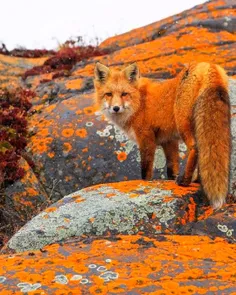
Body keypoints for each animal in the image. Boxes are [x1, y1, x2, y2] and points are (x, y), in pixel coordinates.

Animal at [93, 61, 230, 210]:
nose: (116, 108)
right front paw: (171, 180)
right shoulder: (169, 141)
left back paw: (185, 180)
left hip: (183, 123)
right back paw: (198, 180)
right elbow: (171, 168)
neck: (139, 102)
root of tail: (206, 64)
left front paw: (145, 183)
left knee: (195, 147)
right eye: (108, 94)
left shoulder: (146, 139)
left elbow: (146, 170)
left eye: (124, 94)